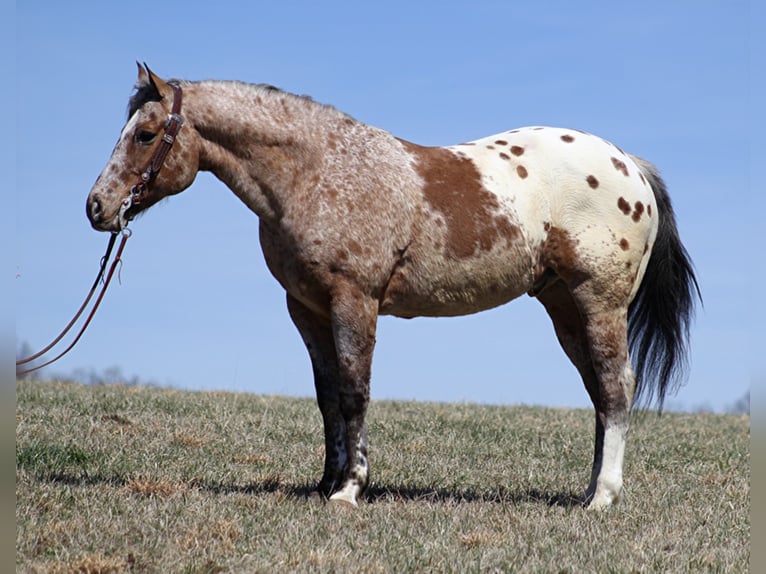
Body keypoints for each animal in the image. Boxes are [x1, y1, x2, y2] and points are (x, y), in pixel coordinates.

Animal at [85, 66, 704, 512]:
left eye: (145, 134)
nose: (97, 208)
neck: (318, 171)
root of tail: (629, 165)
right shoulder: (306, 308)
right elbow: (327, 396)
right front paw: (325, 482)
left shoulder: (354, 300)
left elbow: (355, 392)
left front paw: (350, 490)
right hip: (564, 307)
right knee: (600, 393)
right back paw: (589, 490)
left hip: (599, 303)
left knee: (616, 389)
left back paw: (603, 498)